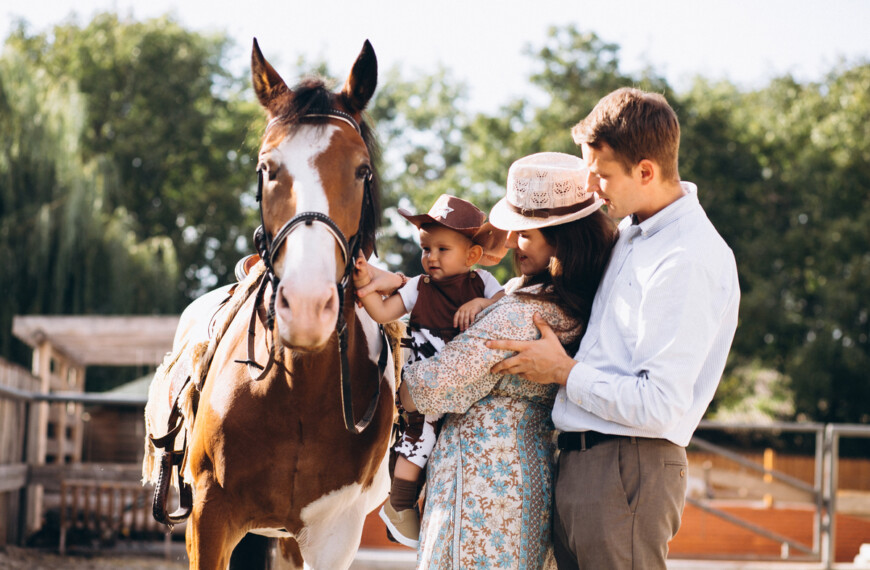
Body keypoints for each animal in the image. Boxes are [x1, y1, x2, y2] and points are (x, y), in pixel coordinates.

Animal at [145, 37, 396, 564]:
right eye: (266, 168)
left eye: (361, 170)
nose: (306, 306)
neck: (297, 389)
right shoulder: (209, 518)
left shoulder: (334, 536)